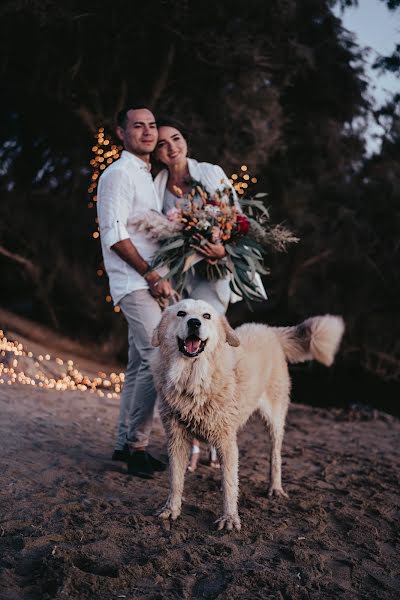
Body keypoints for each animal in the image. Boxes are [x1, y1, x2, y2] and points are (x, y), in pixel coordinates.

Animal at [150, 298, 344, 528]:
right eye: (181, 313)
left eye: (206, 316)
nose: (194, 323)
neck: (193, 380)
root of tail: (270, 330)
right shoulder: (176, 439)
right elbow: (176, 480)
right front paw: (171, 509)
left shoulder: (225, 440)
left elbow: (229, 484)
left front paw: (230, 517)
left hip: (274, 420)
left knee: (275, 456)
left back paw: (275, 487)